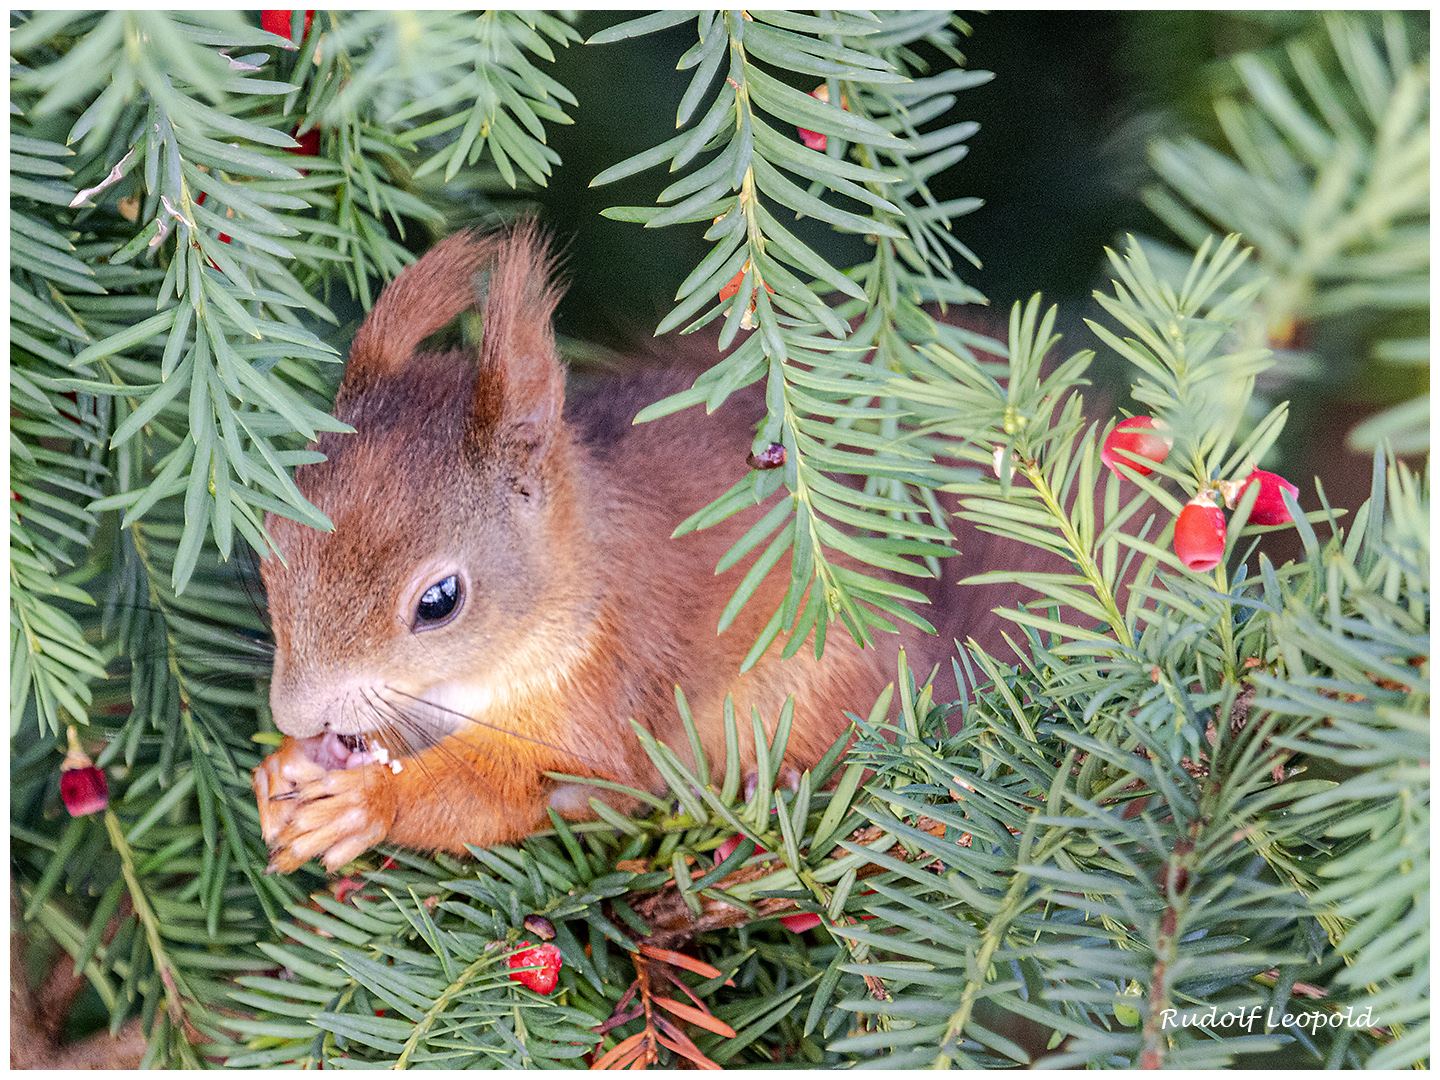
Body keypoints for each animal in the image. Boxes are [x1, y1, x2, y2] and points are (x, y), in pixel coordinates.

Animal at [253, 224, 1019, 875]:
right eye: (269, 542)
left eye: (440, 602)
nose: (292, 715)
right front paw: (288, 764)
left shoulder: (600, 692)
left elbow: (498, 790)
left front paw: (366, 803)